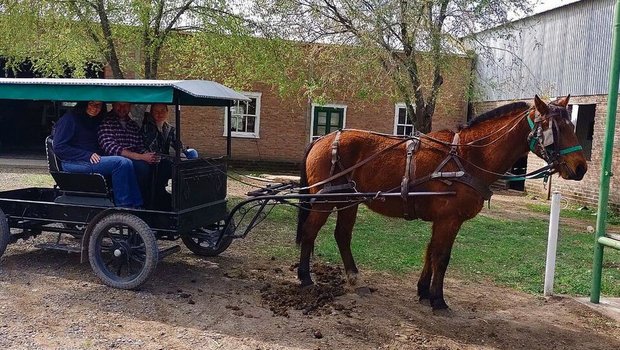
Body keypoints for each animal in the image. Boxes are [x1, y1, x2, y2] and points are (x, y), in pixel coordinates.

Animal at [298, 95, 588, 308]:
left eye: (572, 126)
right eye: (556, 129)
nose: (581, 167)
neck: (468, 155)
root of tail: (323, 139)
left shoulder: (441, 220)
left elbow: (430, 251)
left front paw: (424, 291)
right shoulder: (450, 219)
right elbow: (442, 256)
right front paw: (438, 299)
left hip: (349, 200)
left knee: (342, 235)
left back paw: (353, 277)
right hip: (325, 201)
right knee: (310, 232)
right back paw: (305, 277)